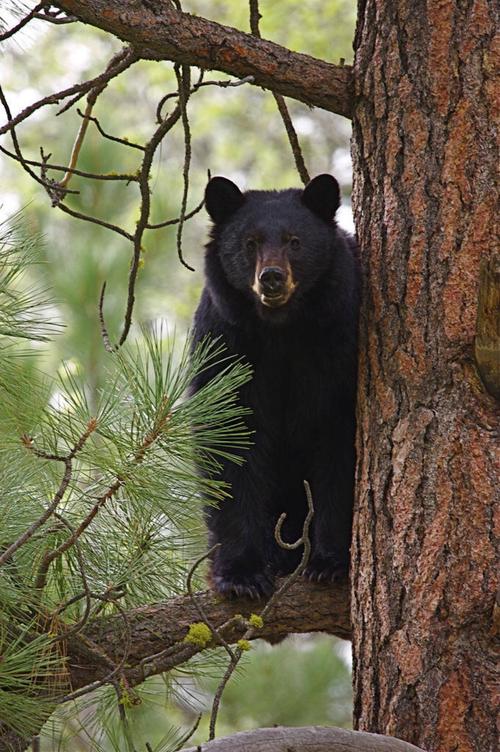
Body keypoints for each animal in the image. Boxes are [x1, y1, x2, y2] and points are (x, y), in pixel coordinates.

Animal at [190, 173, 360, 596]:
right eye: (250, 243)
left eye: (294, 241)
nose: (271, 278)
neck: (281, 329)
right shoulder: (226, 342)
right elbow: (229, 438)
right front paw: (241, 574)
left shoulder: (339, 342)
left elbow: (339, 444)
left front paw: (330, 562)